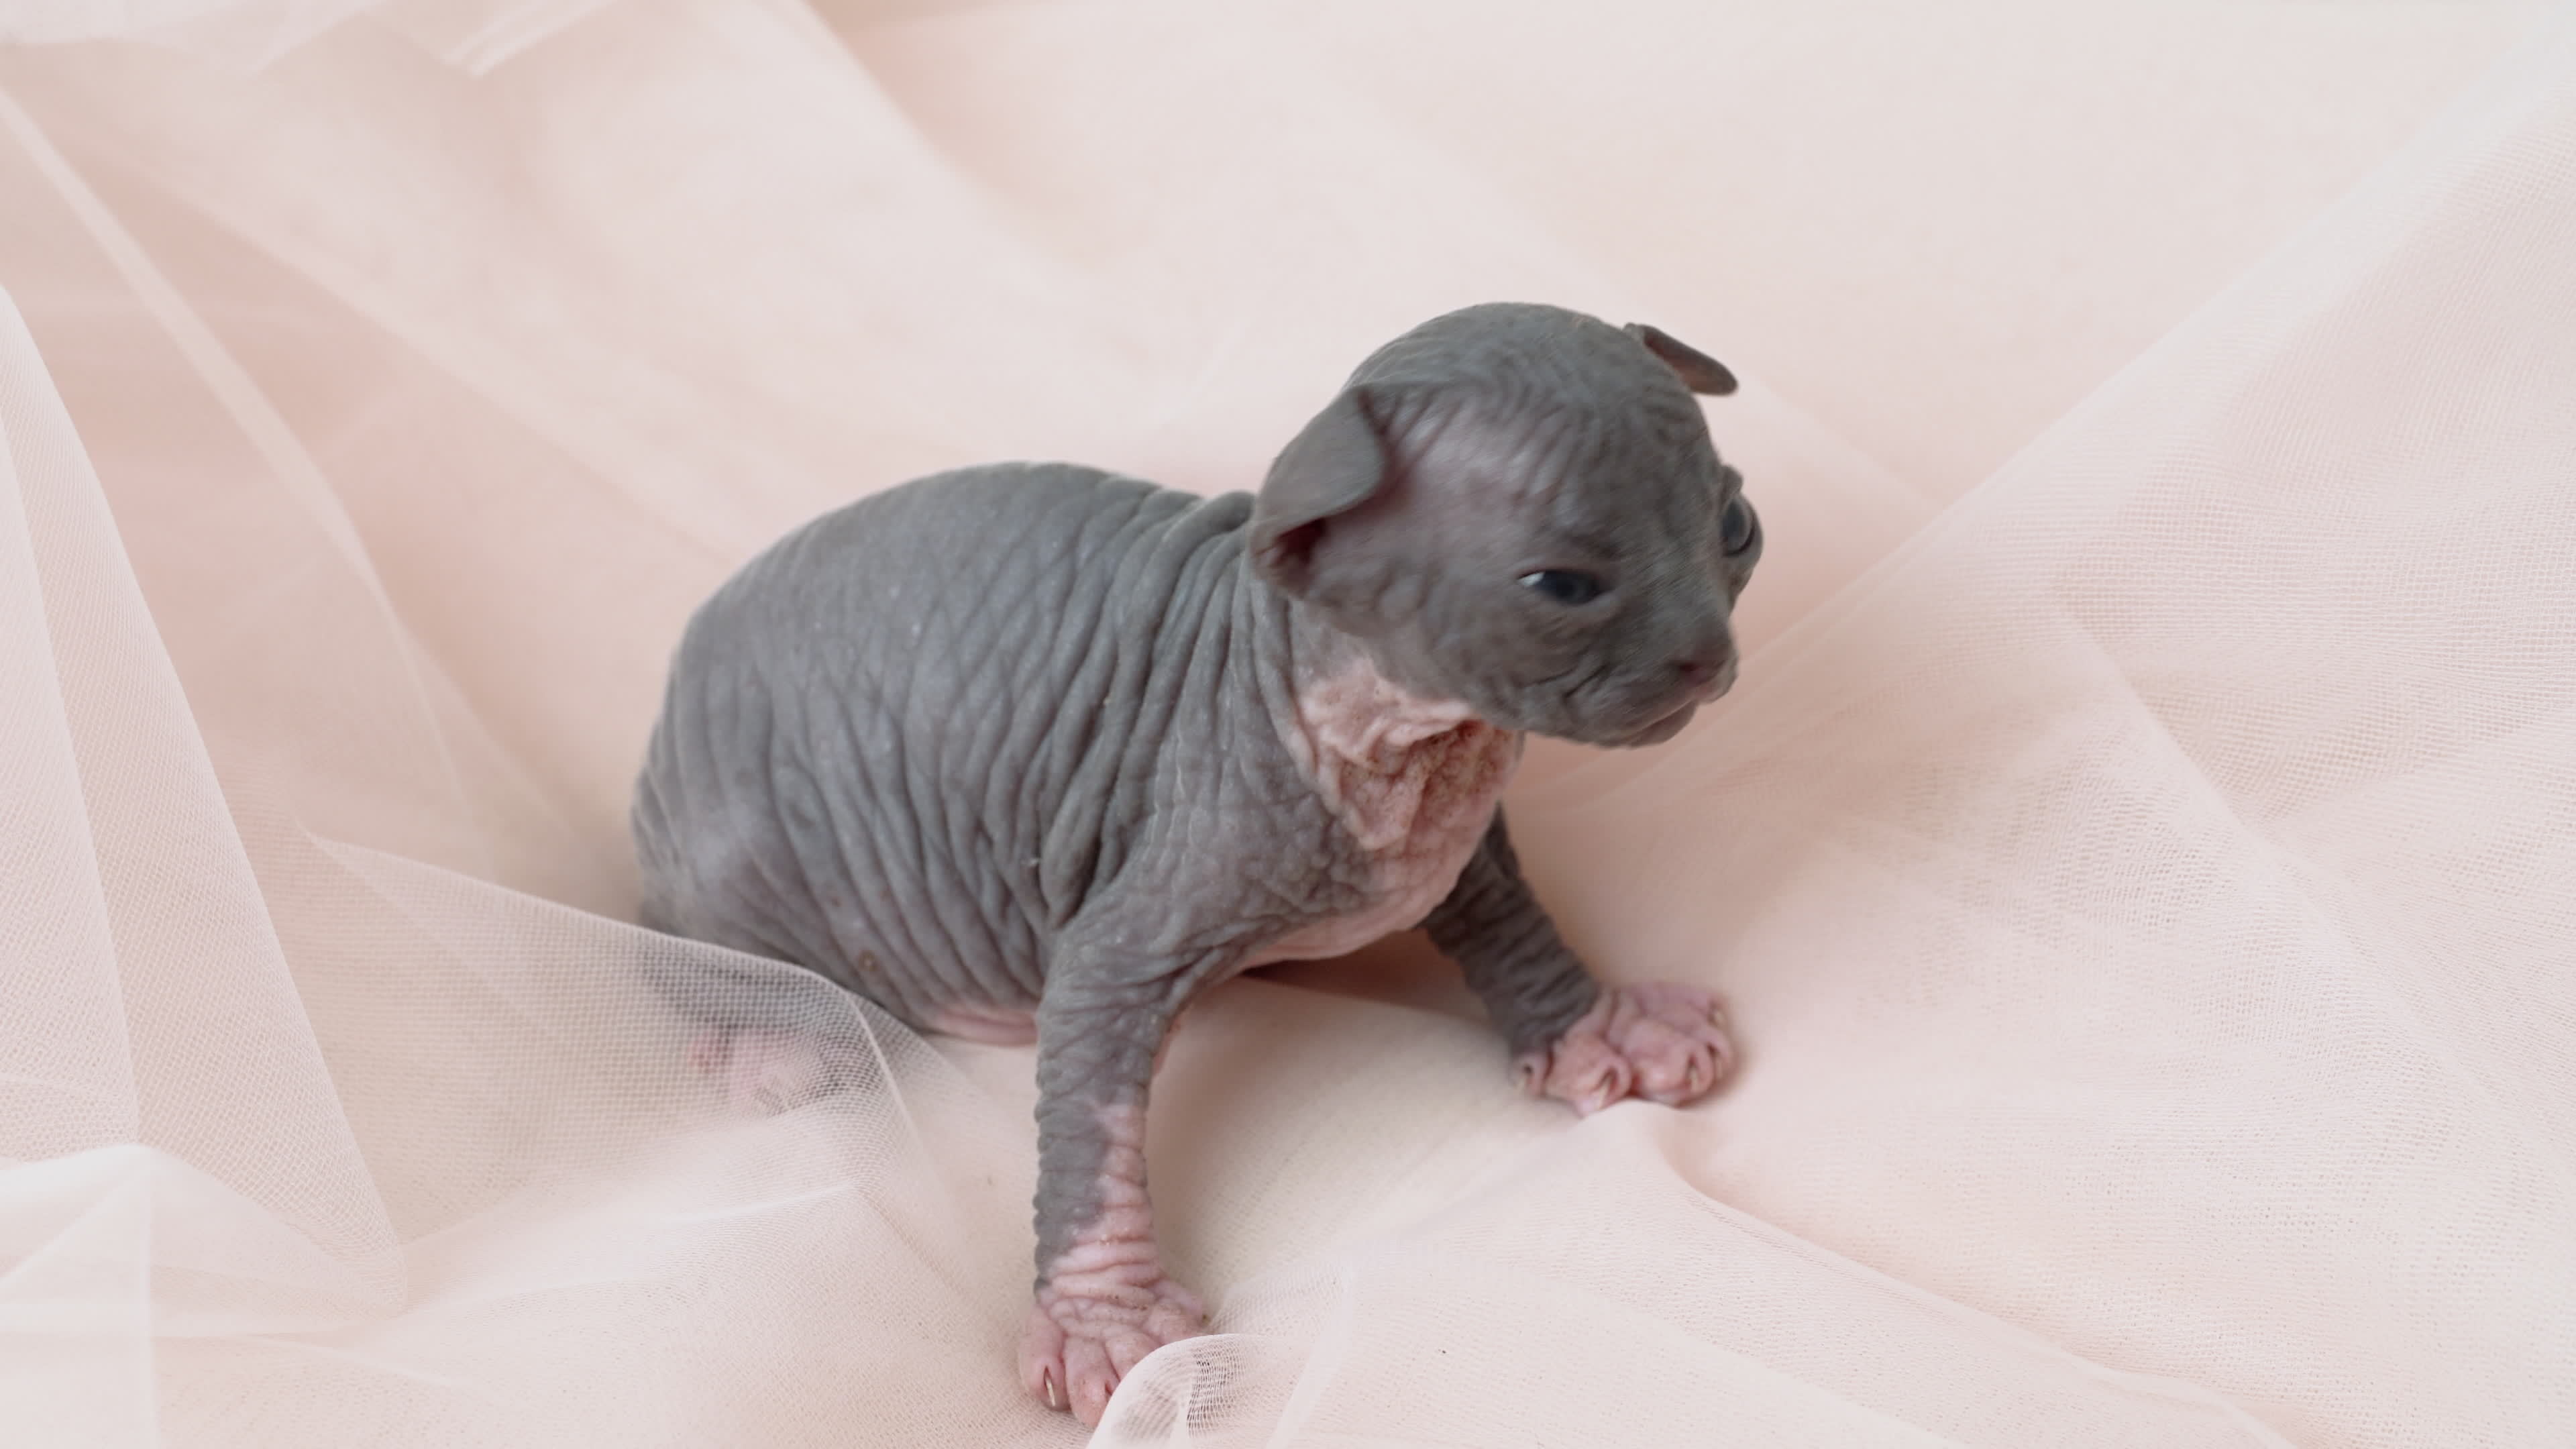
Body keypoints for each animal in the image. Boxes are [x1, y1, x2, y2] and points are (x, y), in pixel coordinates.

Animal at [633, 296, 1762, 1423]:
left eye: (1735, 527)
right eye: (1561, 586)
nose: (1709, 657)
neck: (1402, 735)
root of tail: (662, 724)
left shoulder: (1450, 841)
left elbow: (1507, 917)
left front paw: (1599, 1029)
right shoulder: (1143, 911)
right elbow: (1090, 1104)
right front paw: (1104, 1321)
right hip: (727, 871)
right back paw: (774, 1047)